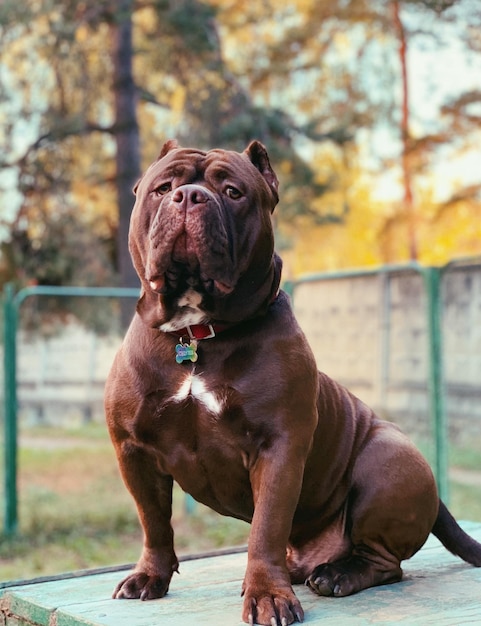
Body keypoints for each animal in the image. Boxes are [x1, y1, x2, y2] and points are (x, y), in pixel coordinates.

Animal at [105, 141, 480, 624]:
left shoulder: (278, 448)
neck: (196, 334)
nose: (189, 196)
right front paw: (150, 575)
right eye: (163, 187)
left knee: (385, 562)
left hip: (387, 460)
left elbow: (265, 529)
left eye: (233, 191)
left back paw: (338, 574)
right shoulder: (133, 449)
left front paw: (267, 595)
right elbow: (153, 522)